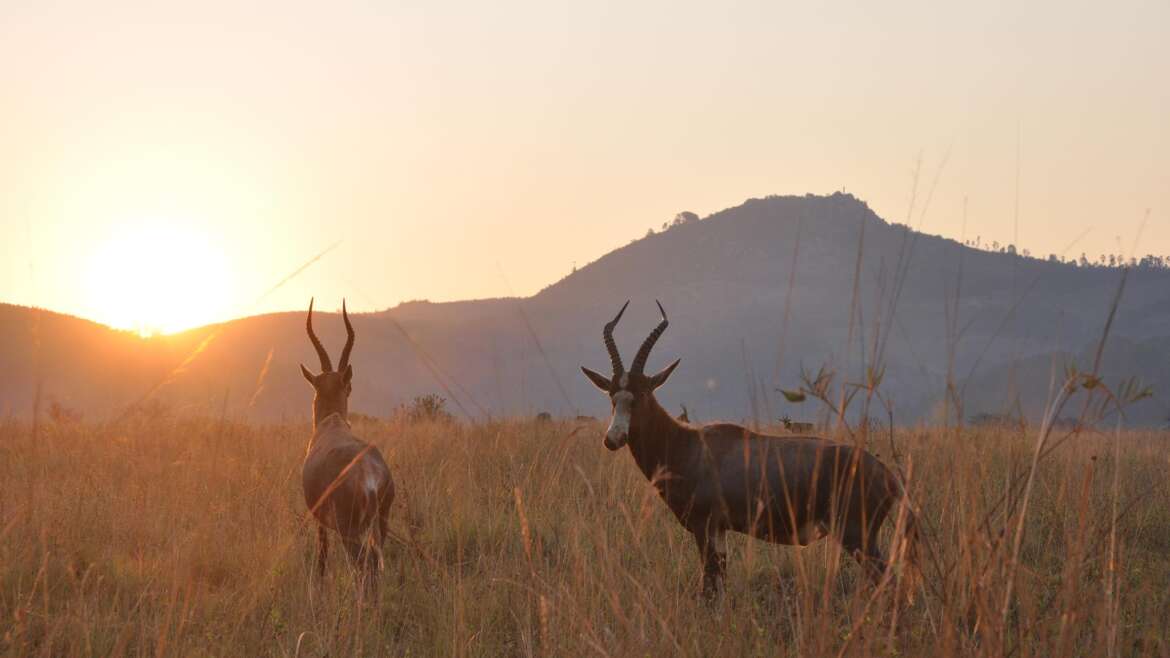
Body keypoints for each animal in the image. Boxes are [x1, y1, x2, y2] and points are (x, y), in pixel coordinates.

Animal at [299, 297, 395, 594]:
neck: (331, 423)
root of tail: (370, 476)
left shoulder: (319, 521)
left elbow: (321, 557)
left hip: (350, 533)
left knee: (366, 566)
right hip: (381, 524)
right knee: (376, 563)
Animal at [580, 302, 917, 594]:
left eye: (641, 394)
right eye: (612, 396)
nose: (612, 439)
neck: (688, 446)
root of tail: (888, 476)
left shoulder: (704, 527)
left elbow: (708, 586)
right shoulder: (719, 531)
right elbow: (718, 583)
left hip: (857, 536)